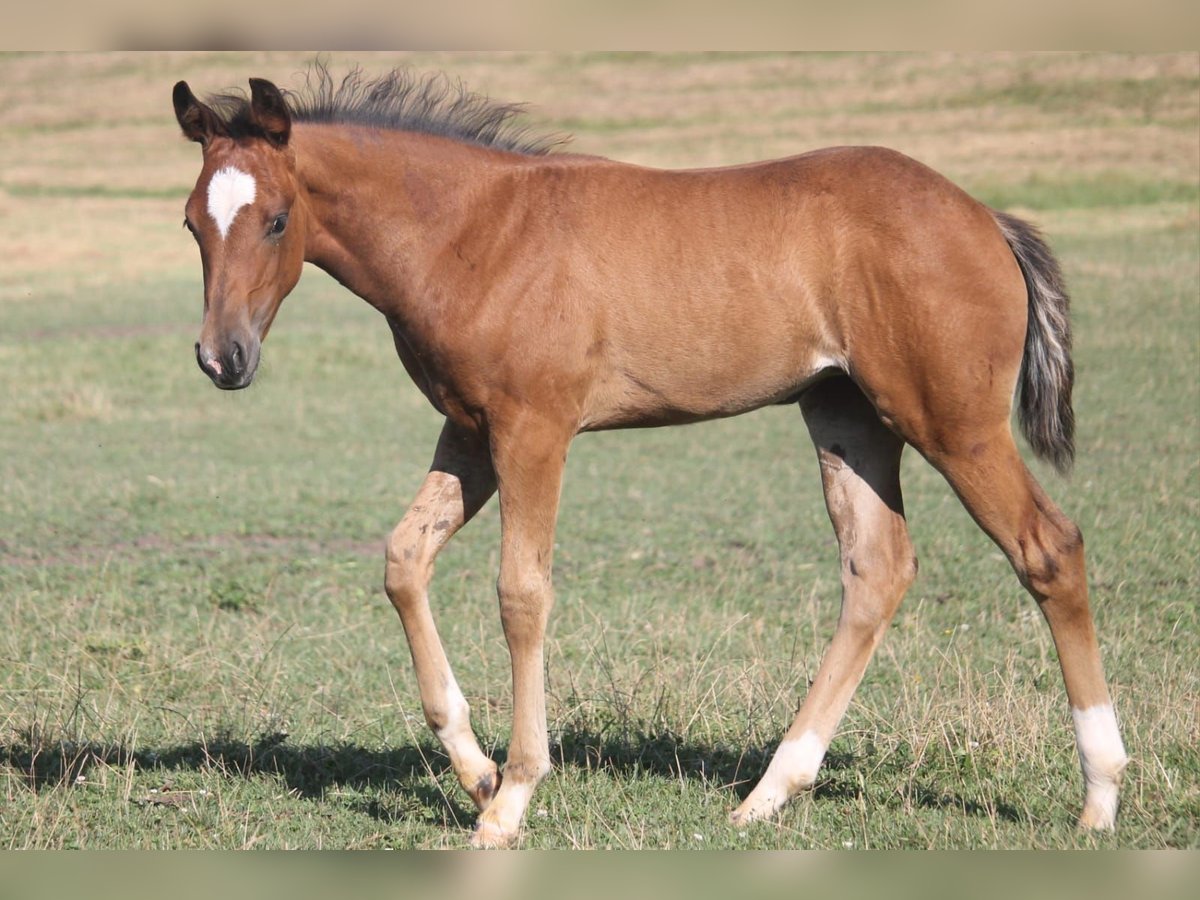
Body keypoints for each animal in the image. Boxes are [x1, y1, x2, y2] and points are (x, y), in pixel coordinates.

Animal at [174, 68, 1128, 844]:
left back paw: (1100, 793)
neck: (474, 234)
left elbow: (522, 594)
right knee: (878, 567)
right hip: (848, 416)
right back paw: (769, 793)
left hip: (951, 422)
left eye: (277, 219)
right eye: (191, 224)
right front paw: (475, 769)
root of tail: (985, 218)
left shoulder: (534, 430)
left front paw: (511, 798)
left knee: (1049, 549)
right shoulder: (471, 432)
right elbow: (404, 560)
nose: (223, 359)